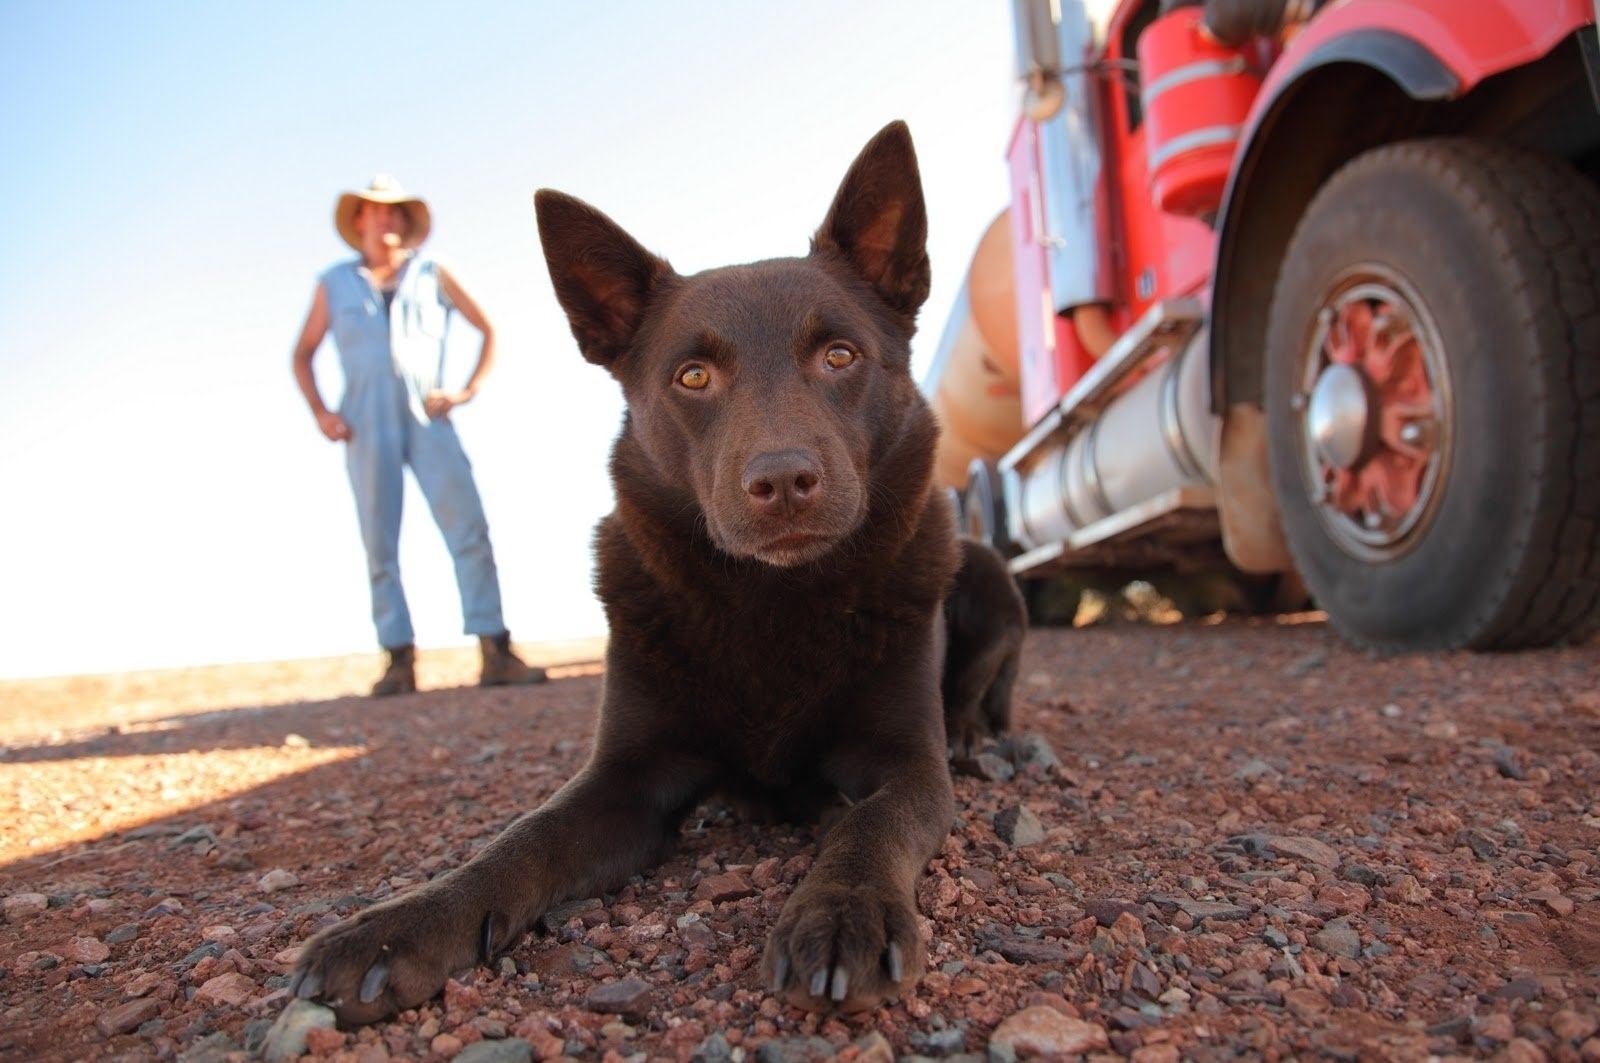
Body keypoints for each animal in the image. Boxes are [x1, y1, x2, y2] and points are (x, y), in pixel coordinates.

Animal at [291, 122, 1024, 1024]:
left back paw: (974, 733)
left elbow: (872, 824)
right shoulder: (625, 777)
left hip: (984, 570)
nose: (783, 481)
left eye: (840, 354)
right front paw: (401, 924)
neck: (768, 601)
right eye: (693, 376)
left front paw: (845, 907)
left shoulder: (907, 766)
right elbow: (522, 836)